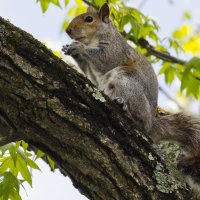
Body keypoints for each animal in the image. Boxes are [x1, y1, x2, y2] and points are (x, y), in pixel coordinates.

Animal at [63, 2, 200, 185]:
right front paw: (70, 49)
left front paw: (78, 47)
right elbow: (92, 77)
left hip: (127, 81)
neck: (96, 37)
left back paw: (125, 108)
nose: (68, 30)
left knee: (139, 121)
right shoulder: (93, 74)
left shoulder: (114, 51)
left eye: (89, 19)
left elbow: (104, 60)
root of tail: (151, 123)